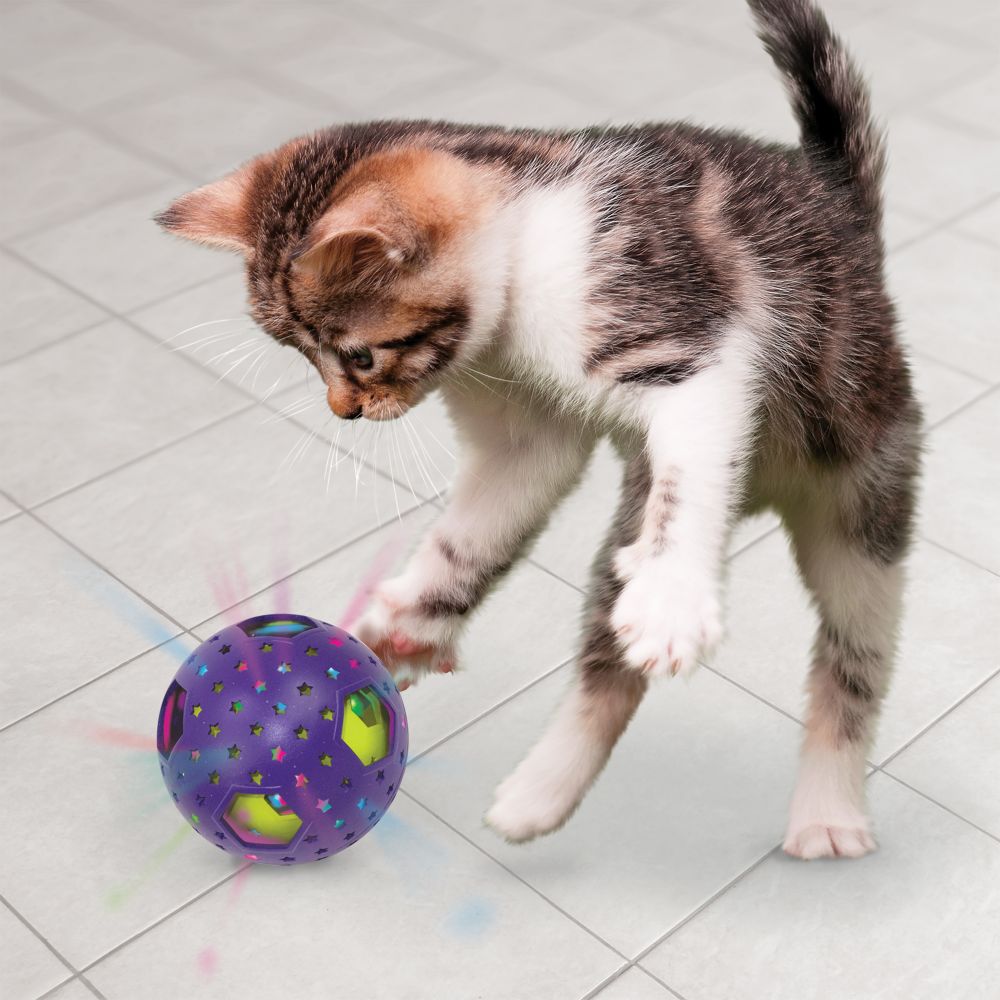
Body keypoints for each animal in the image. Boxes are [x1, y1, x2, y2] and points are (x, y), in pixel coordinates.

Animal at [158, 0, 920, 860]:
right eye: (300, 355)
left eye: (358, 355)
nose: (342, 413)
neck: (525, 255)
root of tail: (839, 199)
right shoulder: (520, 432)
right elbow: (478, 530)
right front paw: (411, 621)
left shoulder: (693, 352)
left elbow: (688, 475)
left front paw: (671, 598)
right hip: (623, 545)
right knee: (604, 664)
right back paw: (540, 793)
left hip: (864, 509)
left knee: (853, 660)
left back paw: (828, 810)